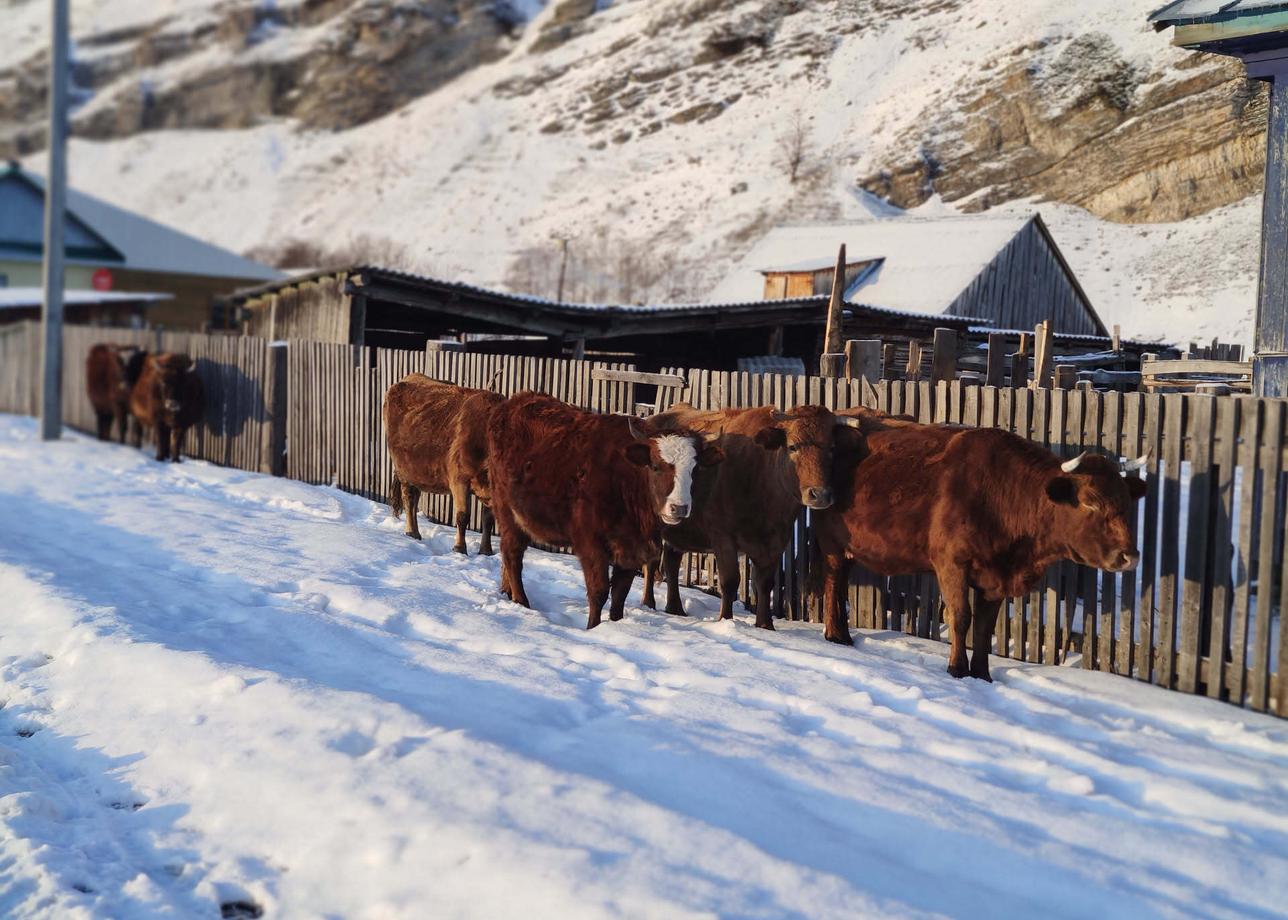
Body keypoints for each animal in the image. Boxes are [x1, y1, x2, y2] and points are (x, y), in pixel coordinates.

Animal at [378, 373, 499, 551]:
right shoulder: (459, 480)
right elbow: (463, 516)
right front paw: (459, 548)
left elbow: (488, 519)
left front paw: (486, 551)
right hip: (403, 470)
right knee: (408, 499)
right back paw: (411, 532)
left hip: (417, 471)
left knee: (415, 499)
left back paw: (416, 533)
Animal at [484, 391, 726, 626]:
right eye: (656, 466)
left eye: (695, 469)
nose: (679, 508)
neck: (625, 481)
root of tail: (512, 404)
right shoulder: (591, 544)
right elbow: (598, 592)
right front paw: (593, 628)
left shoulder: (632, 549)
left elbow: (619, 594)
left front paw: (614, 624)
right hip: (507, 511)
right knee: (512, 555)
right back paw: (521, 601)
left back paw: (507, 592)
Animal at [638, 402, 860, 626]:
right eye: (793, 447)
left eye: (831, 448)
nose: (820, 494)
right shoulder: (723, 538)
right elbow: (730, 581)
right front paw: (726, 619)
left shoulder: (776, 543)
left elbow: (765, 583)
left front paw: (765, 624)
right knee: (651, 562)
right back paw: (649, 603)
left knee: (671, 562)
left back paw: (675, 608)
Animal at [814, 425, 1148, 675]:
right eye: (1091, 502)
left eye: (1126, 502)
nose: (1130, 556)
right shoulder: (951, 564)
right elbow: (961, 616)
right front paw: (957, 668)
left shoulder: (996, 577)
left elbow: (985, 628)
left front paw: (982, 673)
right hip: (831, 543)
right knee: (831, 583)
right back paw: (834, 634)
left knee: (840, 585)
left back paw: (843, 634)